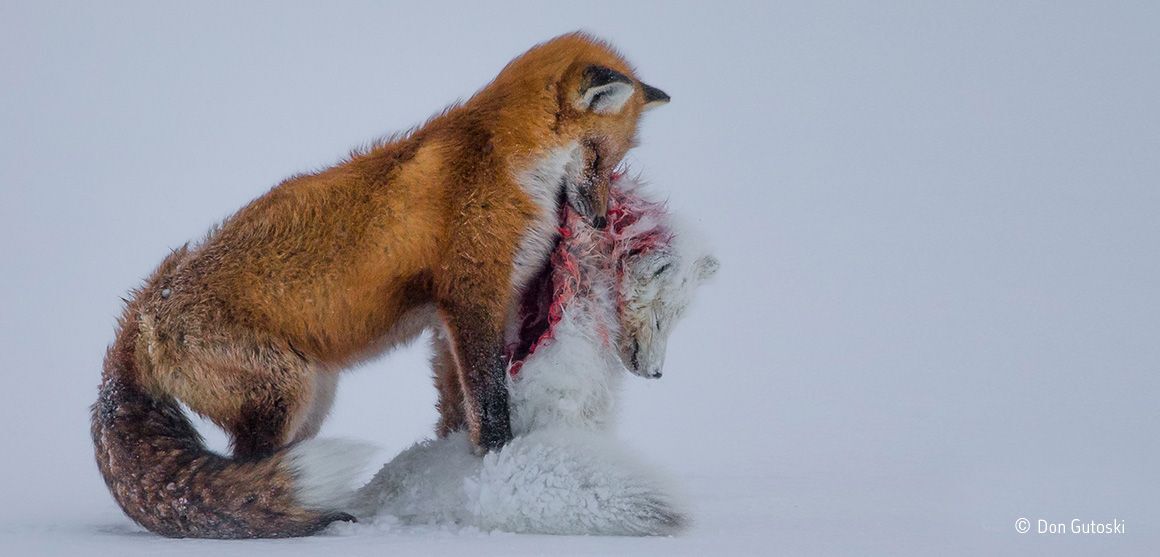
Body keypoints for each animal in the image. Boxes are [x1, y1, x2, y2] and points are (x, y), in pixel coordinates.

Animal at [91, 32, 671, 539]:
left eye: (613, 162)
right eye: (596, 156)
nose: (599, 221)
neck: (505, 161)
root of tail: (142, 312)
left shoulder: (451, 321)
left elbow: (457, 408)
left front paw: (457, 469)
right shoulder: (472, 296)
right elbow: (489, 404)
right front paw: (498, 465)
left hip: (312, 400)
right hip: (288, 391)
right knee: (248, 480)